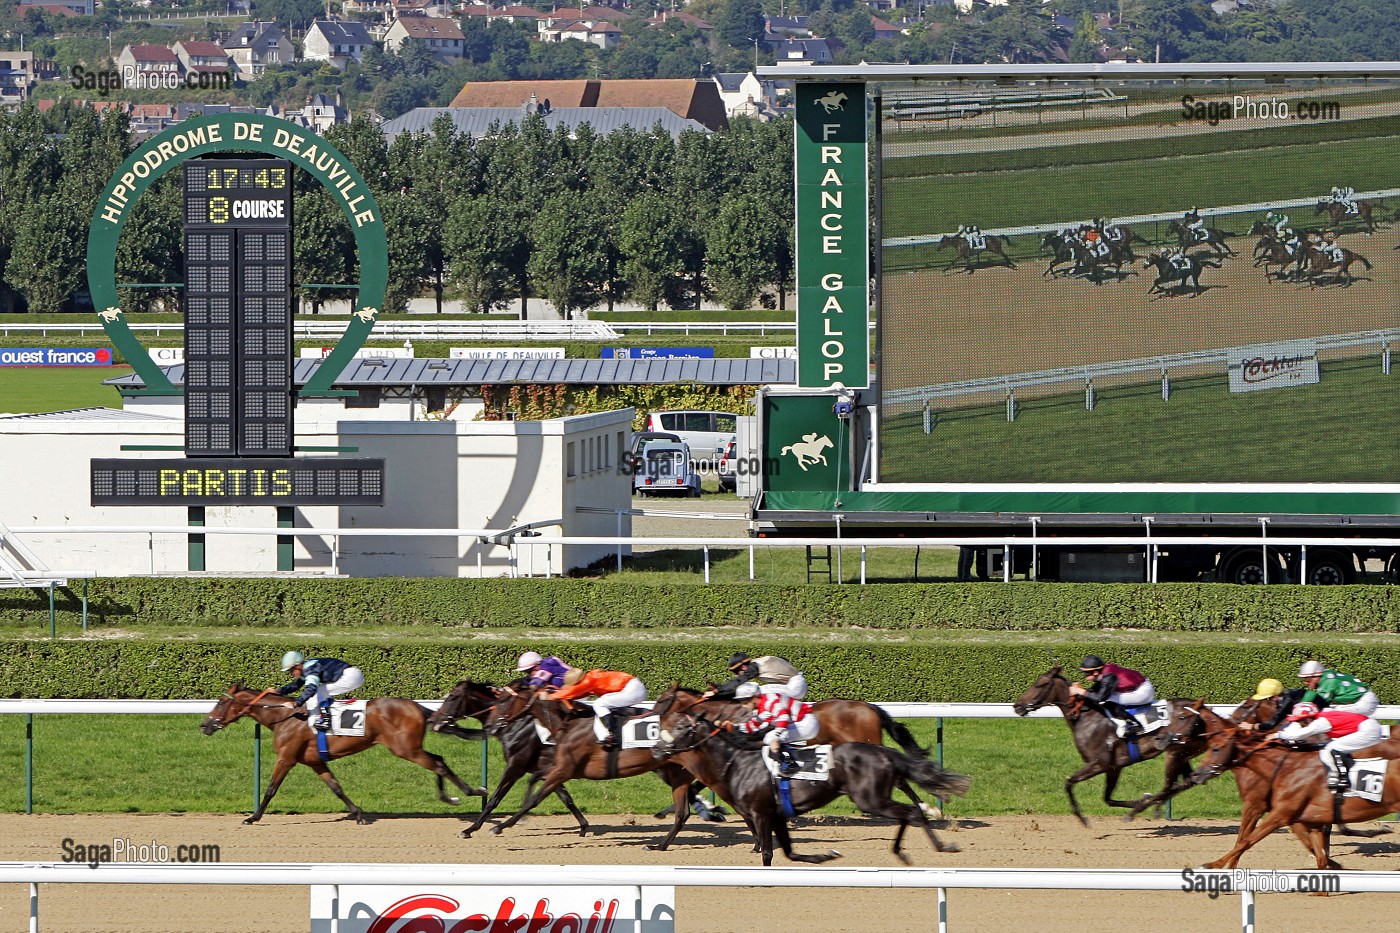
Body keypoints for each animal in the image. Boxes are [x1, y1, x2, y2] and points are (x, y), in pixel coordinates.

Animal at [200, 683, 487, 823]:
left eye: (222, 702)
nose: (204, 725)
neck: (284, 717)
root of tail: (418, 707)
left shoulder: (287, 758)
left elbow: (271, 788)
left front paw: (253, 817)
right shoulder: (314, 761)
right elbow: (336, 787)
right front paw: (358, 814)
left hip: (405, 748)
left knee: (437, 763)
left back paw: (469, 792)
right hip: (410, 748)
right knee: (437, 760)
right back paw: (453, 796)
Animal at [1013, 661, 1209, 823]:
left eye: (1040, 684)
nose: (1017, 706)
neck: (1087, 718)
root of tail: (1203, 710)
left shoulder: (1100, 763)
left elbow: (1069, 783)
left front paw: (1082, 818)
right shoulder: (1114, 767)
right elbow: (1107, 799)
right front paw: (1138, 801)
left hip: (1175, 753)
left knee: (1175, 784)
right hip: (1181, 753)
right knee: (1186, 782)